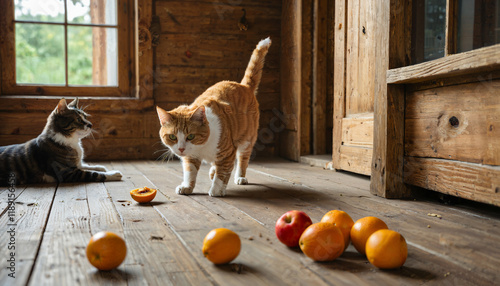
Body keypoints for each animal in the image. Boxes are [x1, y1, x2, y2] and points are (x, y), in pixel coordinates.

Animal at [157, 37, 272, 197]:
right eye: (172, 137)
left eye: (191, 136)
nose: (181, 149)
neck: (202, 147)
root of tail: (243, 86)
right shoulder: (190, 158)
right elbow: (190, 173)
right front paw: (187, 186)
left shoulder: (228, 153)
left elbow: (222, 173)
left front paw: (216, 190)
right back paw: (212, 170)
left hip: (247, 140)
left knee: (242, 159)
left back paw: (240, 177)